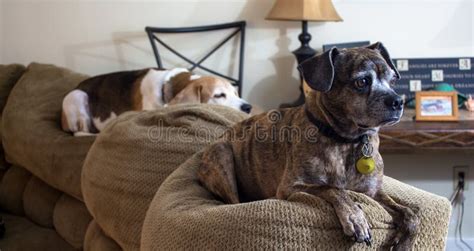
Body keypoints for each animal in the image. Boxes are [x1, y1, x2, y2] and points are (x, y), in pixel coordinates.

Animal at [198, 42, 416, 250]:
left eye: (393, 80)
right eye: (361, 82)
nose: (398, 101)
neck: (346, 141)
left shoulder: (373, 193)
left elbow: (411, 213)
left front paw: (403, 244)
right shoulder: (290, 187)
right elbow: (333, 188)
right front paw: (354, 217)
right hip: (222, 154)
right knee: (232, 201)